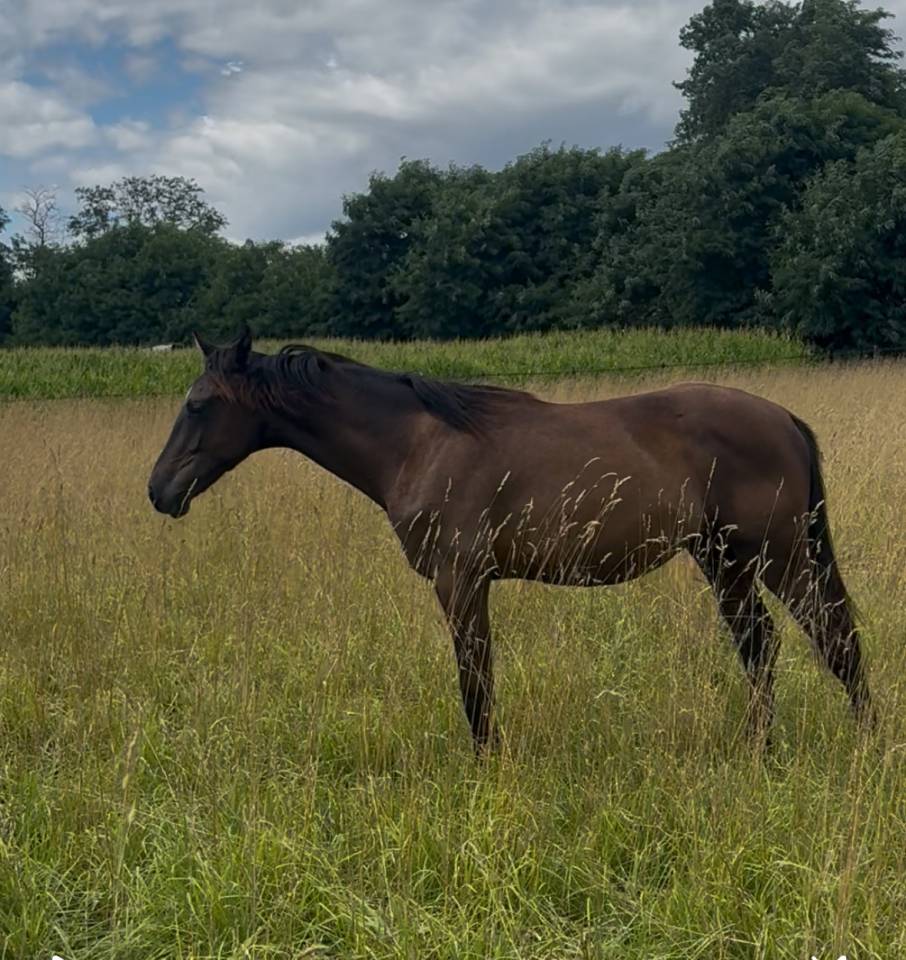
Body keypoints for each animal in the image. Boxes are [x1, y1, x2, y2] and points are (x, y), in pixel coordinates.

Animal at [148, 326, 873, 753]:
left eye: (199, 405)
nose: (160, 489)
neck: (419, 443)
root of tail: (782, 417)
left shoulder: (461, 582)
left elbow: (476, 682)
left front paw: (485, 763)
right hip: (726, 563)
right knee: (763, 647)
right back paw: (760, 751)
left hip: (775, 557)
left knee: (833, 637)